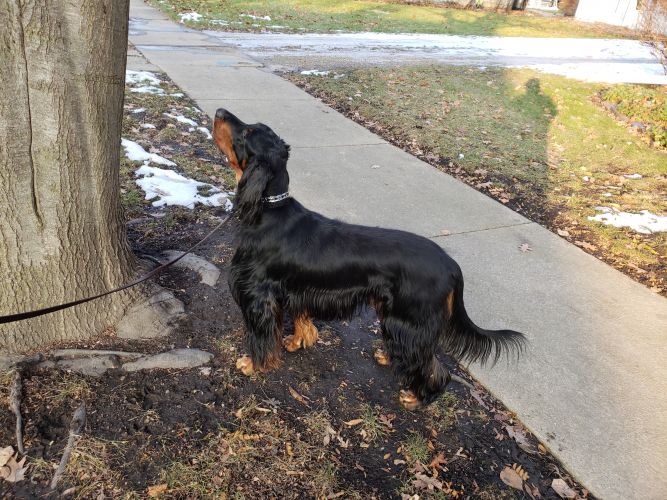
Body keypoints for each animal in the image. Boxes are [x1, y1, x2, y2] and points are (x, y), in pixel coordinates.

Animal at [215, 109, 528, 410]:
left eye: (247, 132)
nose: (219, 111)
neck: (269, 209)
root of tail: (452, 266)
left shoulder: (258, 296)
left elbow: (262, 337)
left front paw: (253, 364)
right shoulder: (296, 290)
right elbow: (301, 318)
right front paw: (297, 341)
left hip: (408, 323)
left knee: (435, 368)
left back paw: (417, 398)